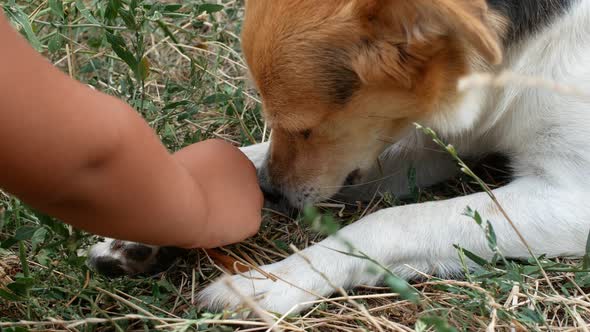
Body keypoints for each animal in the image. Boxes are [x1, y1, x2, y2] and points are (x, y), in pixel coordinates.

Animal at [89, 0, 590, 316]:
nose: (268, 192)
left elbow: (390, 221)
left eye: (305, 127)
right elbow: (245, 156)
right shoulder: (440, 141)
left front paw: (275, 282)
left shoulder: (570, 198)